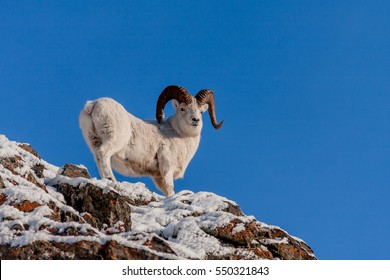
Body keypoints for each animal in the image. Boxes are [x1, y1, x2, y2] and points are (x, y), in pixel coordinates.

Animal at [79, 86, 224, 197]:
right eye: (182, 109)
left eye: (201, 112)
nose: (195, 120)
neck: (180, 135)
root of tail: (93, 105)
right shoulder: (167, 170)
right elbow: (170, 190)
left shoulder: (158, 177)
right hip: (114, 141)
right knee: (102, 154)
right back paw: (113, 182)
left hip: (94, 142)